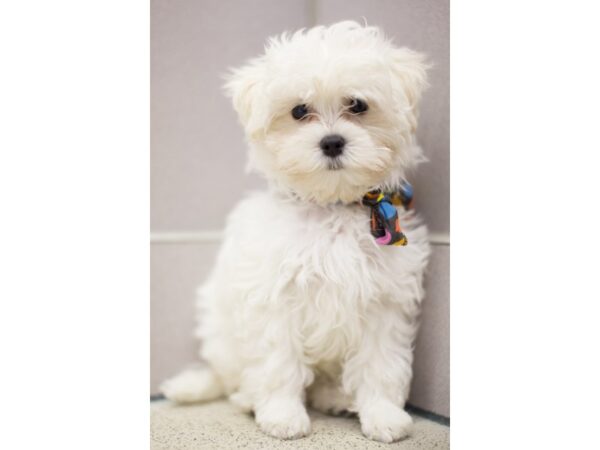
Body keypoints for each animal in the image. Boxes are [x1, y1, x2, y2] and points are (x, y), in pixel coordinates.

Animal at [162, 20, 428, 442]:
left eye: (358, 105)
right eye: (299, 111)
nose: (332, 142)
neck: (331, 207)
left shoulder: (384, 301)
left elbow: (381, 363)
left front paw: (383, 415)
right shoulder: (275, 298)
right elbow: (278, 363)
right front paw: (282, 415)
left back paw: (335, 397)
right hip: (222, 335)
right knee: (231, 378)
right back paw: (246, 398)